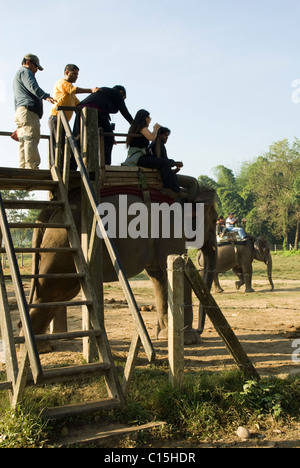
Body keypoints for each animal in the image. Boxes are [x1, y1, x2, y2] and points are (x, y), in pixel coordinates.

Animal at [28, 185, 217, 350]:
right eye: (215, 220)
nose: (201, 330)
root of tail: (46, 211)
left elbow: (160, 278)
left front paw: (165, 336)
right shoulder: (171, 232)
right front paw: (190, 340)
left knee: (60, 293)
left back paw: (43, 346)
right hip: (63, 243)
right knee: (52, 290)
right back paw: (42, 349)